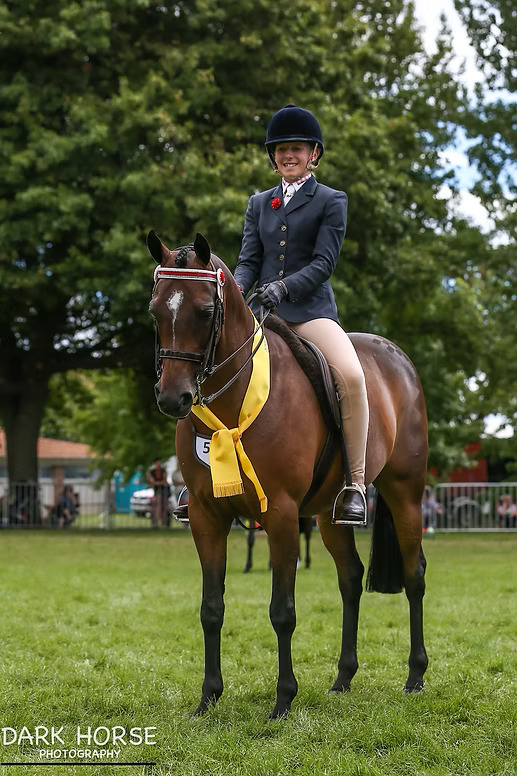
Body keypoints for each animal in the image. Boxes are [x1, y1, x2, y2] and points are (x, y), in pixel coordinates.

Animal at [148, 231, 429, 719]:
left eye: (205, 311)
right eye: (155, 310)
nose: (172, 398)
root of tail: (398, 358)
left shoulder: (279, 515)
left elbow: (282, 611)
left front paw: (283, 700)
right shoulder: (205, 517)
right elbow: (211, 608)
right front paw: (208, 698)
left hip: (405, 494)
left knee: (414, 576)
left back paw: (415, 676)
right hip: (327, 515)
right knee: (350, 578)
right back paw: (343, 679)